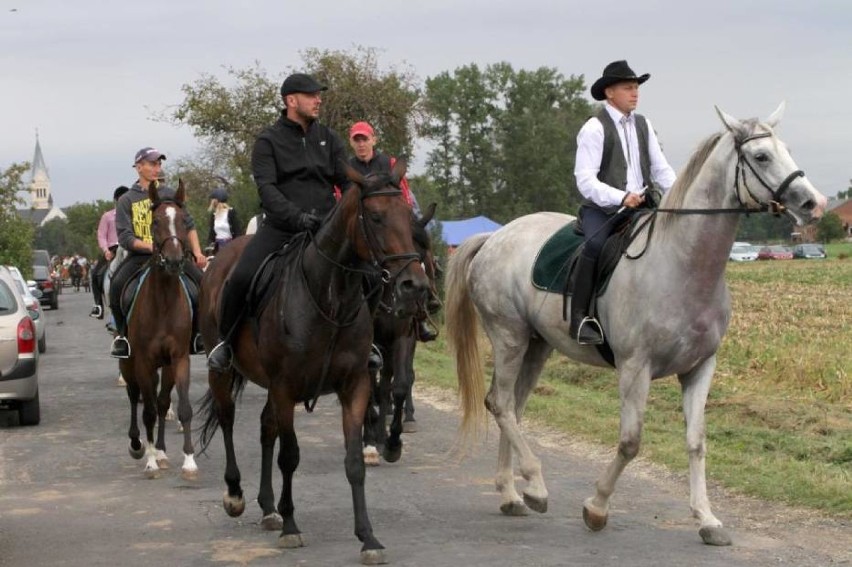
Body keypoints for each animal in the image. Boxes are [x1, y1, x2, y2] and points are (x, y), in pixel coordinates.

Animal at [119, 181, 197, 480]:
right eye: (156, 222)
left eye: (184, 220)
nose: (174, 261)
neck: (163, 301)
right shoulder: (142, 361)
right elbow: (148, 411)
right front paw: (150, 462)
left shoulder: (179, 358)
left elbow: (180, 407)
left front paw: (189, 461)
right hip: (129, 361)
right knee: (135, 396)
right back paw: (139, 446)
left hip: (166, 365)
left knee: (162, 401)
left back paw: (162, 452)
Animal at [197, 161, 430, 567]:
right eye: (376, 217)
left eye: (407, 216)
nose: (413, 286)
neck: (330, 297)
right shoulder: (285, 387)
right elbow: (290, 456)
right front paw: (292, 526)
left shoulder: (354, 384)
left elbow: (353, 461)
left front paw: (368, 537)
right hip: (223, 372)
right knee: (227, 420)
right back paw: (236, 495)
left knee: (266, 428)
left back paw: (268, 507)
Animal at [446, 104, 824, 548]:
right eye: (762, 156)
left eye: (786, 149)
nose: (813, 202)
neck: (682, 265)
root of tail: (493, 237)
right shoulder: (634, 368)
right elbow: (630, 443)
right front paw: (596, 507)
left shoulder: (700, 368)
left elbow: (696, 442)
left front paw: (708, 519)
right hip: (509, 338)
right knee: (502, 404)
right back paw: (535, 486)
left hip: (537, 345)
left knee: (514, 408)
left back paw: (511, 494)